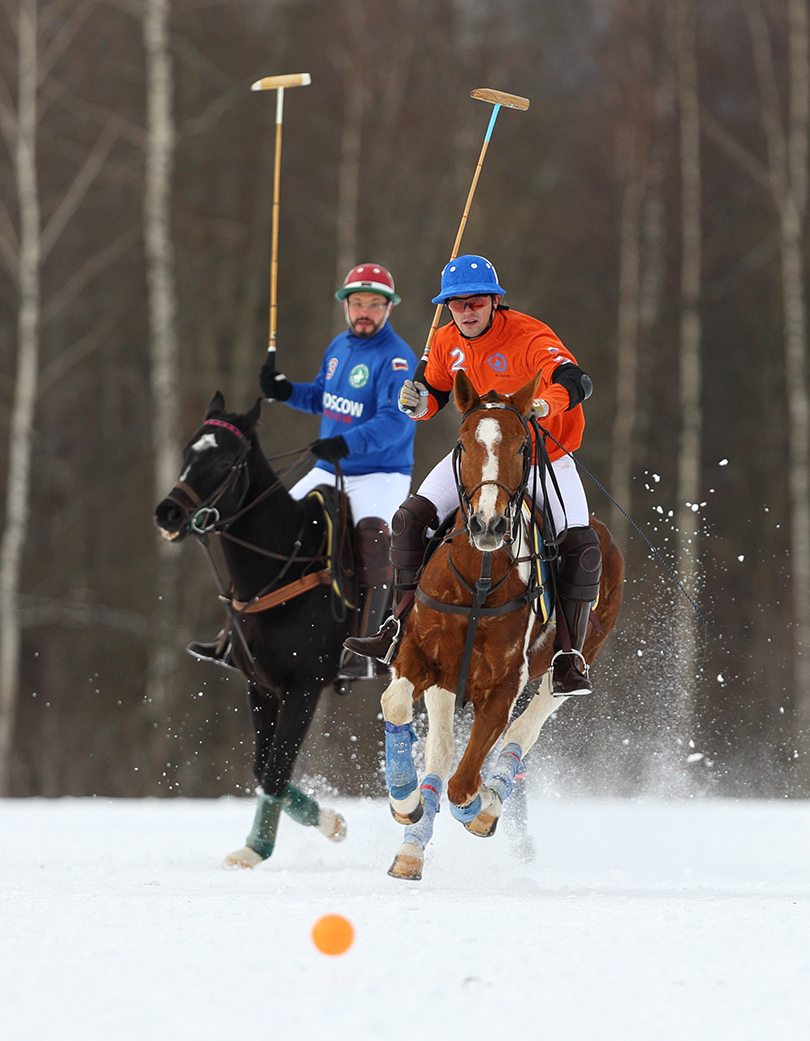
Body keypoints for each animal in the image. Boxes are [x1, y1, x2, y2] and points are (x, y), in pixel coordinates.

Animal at [153, 393, 351, 866]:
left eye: (226, 459)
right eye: (186, 452)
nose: (168, 512)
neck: (281, 569)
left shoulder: (304, 686)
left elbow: (277, 767)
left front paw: (256, 847)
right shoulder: (260, 686)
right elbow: (264, 767)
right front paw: (330, 821)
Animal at [376, 370, 620, 874]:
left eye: (523, 446)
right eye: (464, 442)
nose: (487, 525)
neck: (480, 576)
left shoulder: (504, 682)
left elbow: (465, 784)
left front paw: (484, 807)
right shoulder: (422, 657)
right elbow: (397, 705)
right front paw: (405, 801)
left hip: (572, 656)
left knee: (527, 728)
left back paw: (492, 799)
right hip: (449, 678)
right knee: (443, 751)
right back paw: (411, 846)